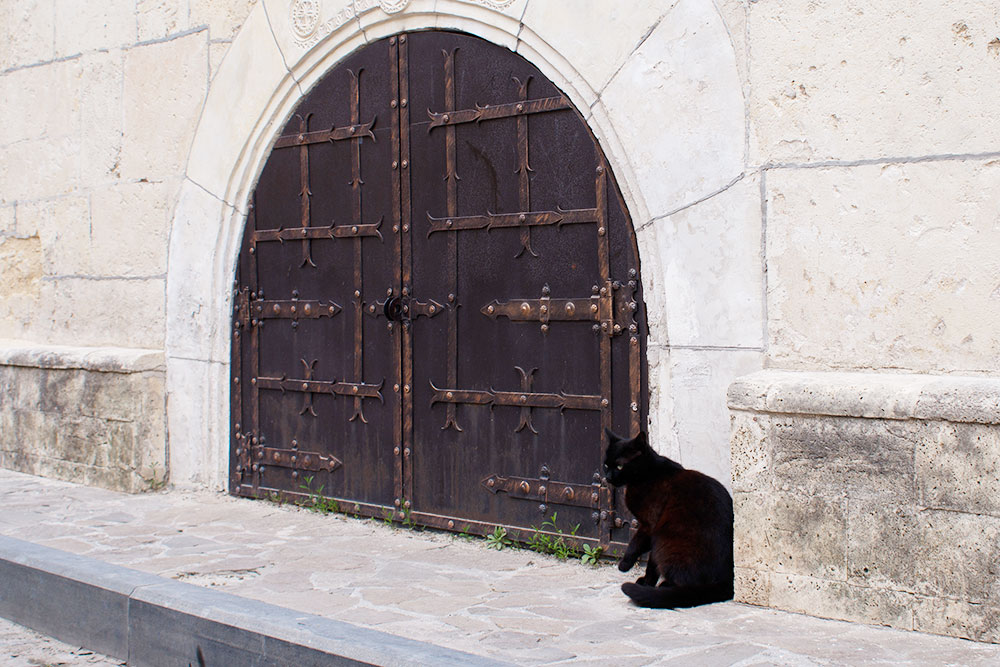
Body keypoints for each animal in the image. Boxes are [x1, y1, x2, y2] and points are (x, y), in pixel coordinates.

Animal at [600, 430, 736, 608]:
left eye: (619, 466)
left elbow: (636, 547)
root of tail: (727, 581)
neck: (647, 474)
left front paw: (626, 566)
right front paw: (646, 582)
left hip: (665, 540)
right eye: (606, 465)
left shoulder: (649, 525)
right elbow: (651, 561)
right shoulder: (650, 529)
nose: (608, 478)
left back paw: (664, 588)